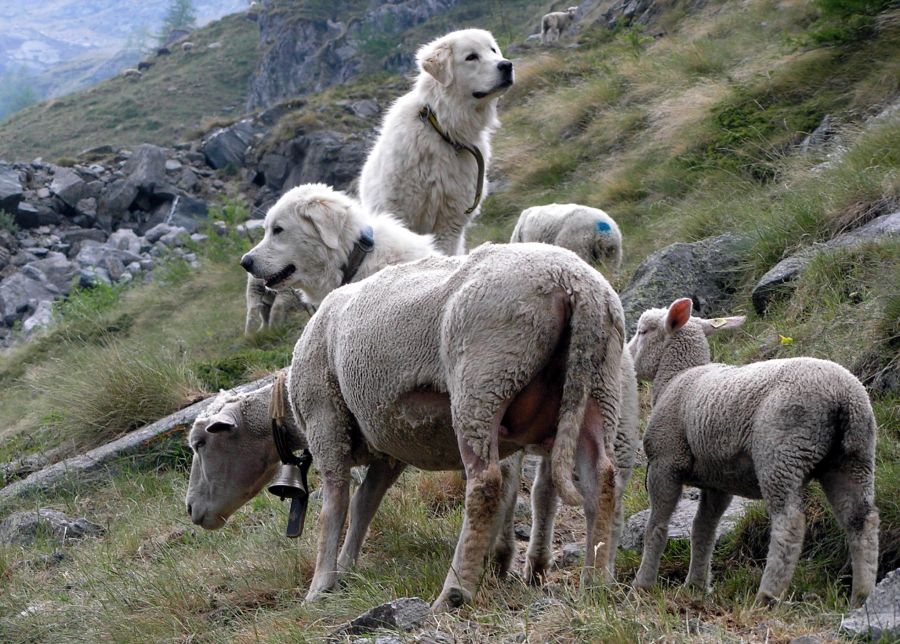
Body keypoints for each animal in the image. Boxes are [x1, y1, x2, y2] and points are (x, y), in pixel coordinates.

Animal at [288, 242, 624, 608]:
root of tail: (574, 283)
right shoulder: (389, 448)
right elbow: (365, 501)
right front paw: (345, 569)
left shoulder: (326, 418)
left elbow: (334, 504)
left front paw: (320, 585)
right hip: (598, 384)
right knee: (601, 478)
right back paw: (594, 582)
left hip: (484, 379)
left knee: (485, 484)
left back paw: (454, 592)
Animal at [358, 27, 512, 255]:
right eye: (471, 57)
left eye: (493, 50)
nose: (507, 65)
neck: (443, 130)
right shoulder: (401, 213)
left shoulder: (450, 223)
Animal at [628, 300, 876, 608]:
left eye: (643, 331)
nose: (626, 357)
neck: (677, 377)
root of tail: (842, 396)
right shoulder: (717, 480)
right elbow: (703, 530)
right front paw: (696, 585)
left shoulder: (665, 461)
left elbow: (657, 527)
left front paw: (642, 585)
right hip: (854, 457)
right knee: (861, 521)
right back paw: (862, 595)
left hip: (782, 453)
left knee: (790, 523)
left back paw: (768, 595)